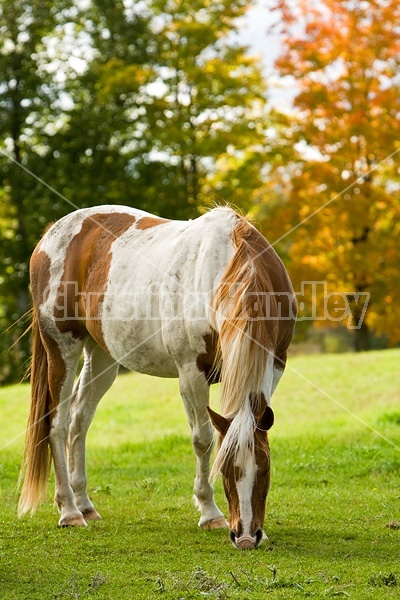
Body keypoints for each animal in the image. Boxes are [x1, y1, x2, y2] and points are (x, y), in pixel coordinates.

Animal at [18, 205, 296, 548]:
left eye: (266, 468)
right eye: (225, 470)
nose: (245, 536)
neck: (228, 267)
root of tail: (49, 237)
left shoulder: (275, 364)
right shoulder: (191, 372)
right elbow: (203, 440)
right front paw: (210, 513)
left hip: (102, 357)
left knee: (79, 421)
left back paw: (85, 505)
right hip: (62, 350)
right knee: (57, 423)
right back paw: (69, 511)